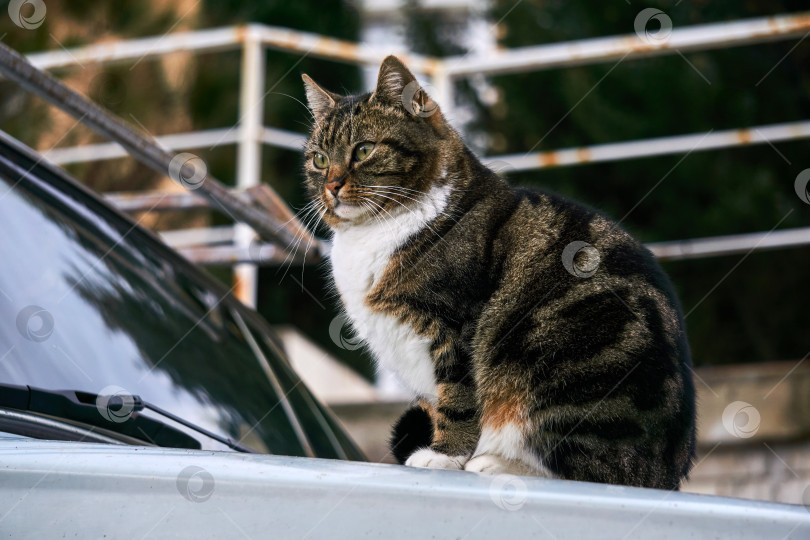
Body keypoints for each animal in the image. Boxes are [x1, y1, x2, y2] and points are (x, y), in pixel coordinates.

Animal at [300, 56, 692, 490]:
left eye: (364, 150)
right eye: (319, 159)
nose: (332, 186)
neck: (373, 231)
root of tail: (668, 473)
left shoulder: (457, 327)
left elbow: (458, 397)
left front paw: (444, 455)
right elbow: (435, 403)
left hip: (561, 359)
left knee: (591, 470)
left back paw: (496, 462)